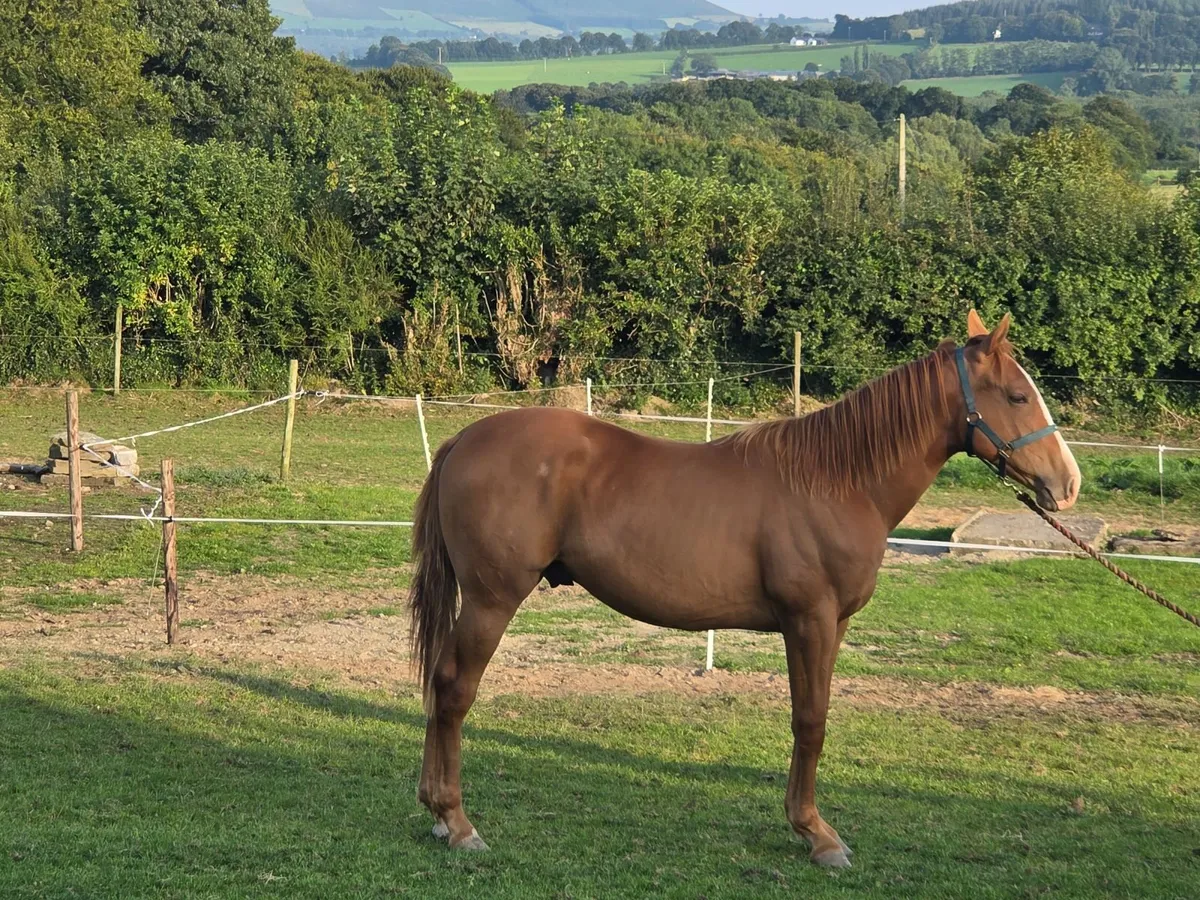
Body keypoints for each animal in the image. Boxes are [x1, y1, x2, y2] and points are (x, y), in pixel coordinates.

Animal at [408, 310, 1081, 868]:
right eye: (1018, 395)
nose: (1067, 484)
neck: (839, 482)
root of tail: (464, 439)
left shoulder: (832, 624)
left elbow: (813, 716)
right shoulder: (809, 619)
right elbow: (810, 720)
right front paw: (816, 835)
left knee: (440, 685)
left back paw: (437, 816)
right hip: (491, 601)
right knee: (454, 690)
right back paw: (457, 822)